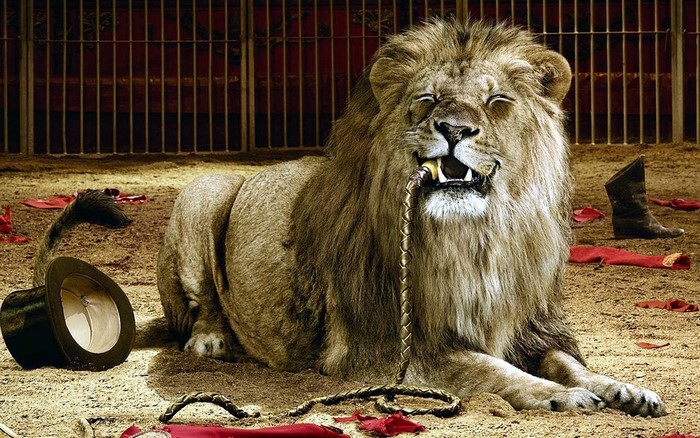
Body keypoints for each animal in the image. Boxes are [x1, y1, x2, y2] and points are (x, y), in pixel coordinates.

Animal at [157, 19, 665, 417]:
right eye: (428, 98)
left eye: (497, 101)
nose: (454, 129)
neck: (475, 240)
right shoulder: (386, 349)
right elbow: (491, 370)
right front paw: (561, 396)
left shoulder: (531, 327)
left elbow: (569, 362)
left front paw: (623, 389)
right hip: (205, 191)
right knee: (202, 303)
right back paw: (211, 342)